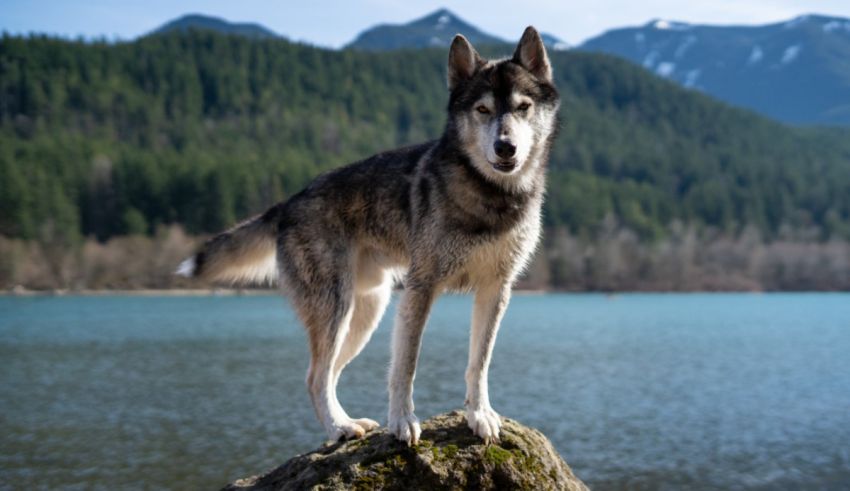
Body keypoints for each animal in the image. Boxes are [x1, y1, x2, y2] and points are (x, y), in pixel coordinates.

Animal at [174, 27, 556, 450]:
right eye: (483, 110)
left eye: (522, 107)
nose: (506, 147)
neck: (490, 195)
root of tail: (289, 201)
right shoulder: (421, 289)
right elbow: (406, 367)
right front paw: (403, 422)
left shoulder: (496, 289)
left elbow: (479, 363)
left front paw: (480, 415)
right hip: (337, 310)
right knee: (315, 377)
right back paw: (339, 428)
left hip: (366, 314)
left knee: (327, 374)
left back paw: (347, 421)